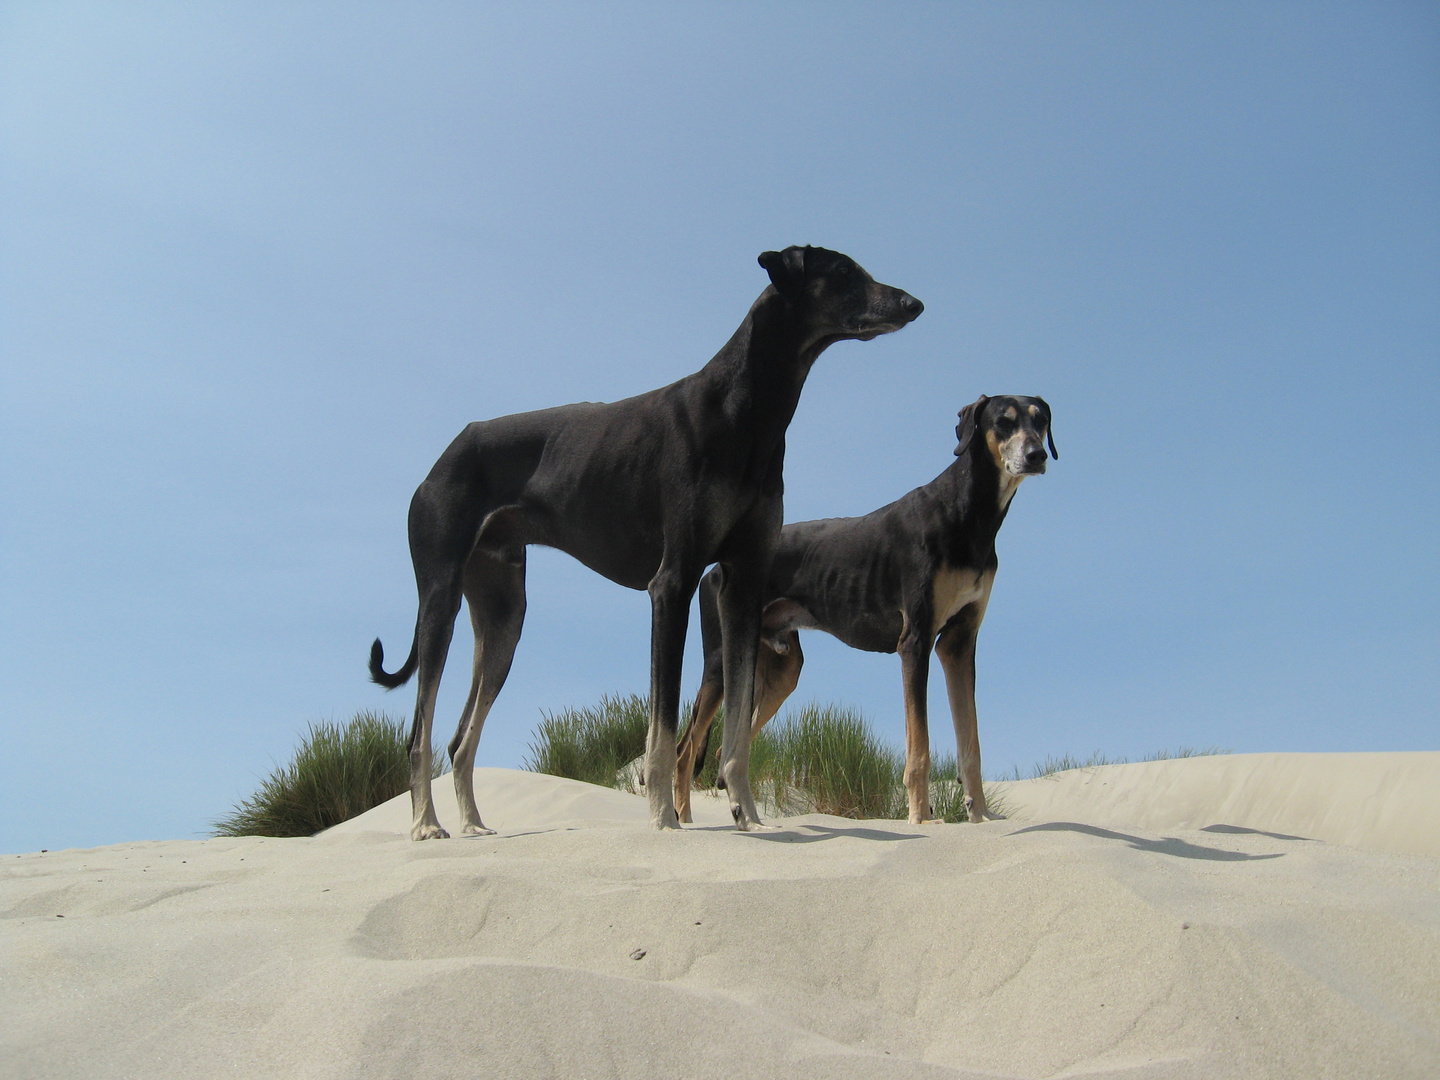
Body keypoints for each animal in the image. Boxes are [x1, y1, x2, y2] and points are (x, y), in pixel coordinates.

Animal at [371, 249, 921, 840]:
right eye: (842, 273)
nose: (914, 304)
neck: (744, 408)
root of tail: (444, 456)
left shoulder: (743, 586)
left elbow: (735, 731)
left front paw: (747, 816)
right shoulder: (672, 583)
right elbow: (662, 728)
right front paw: (662, 818)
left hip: (503, 619)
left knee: (459, 739)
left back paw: (473, 824)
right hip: (442, 599)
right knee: (418, 733)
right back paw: (426, 825)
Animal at [668, 397, 1054, 829]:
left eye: (1041, 421)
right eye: (1003, 422)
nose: (1037, 455)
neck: (967, 513)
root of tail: (715, 569)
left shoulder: (958, 644)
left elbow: (971, 743)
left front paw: (982, 816)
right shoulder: (915, 643)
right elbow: (919, 747)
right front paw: (920, 819)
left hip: (781, 670)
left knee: (725, 750)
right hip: (721, 661)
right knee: (685, 750)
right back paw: (682, 820)